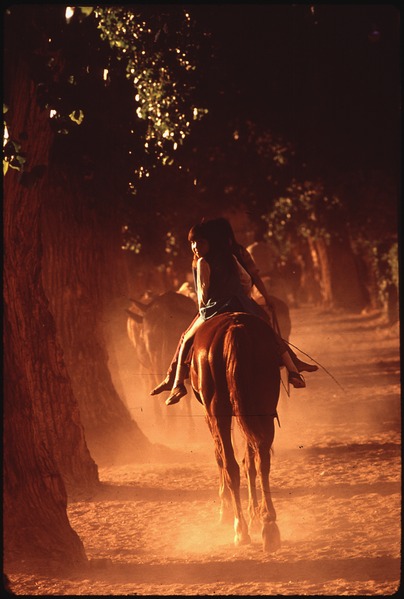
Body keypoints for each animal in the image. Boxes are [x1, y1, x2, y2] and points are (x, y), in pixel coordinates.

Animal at [190, 312, 280, 556]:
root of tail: (235, 326)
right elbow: (249, 461)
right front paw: (255, 515)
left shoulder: (209, 416)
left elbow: (220, 457)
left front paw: (226, 509)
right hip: (263, 405)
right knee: (261, 461)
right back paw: (269, 526)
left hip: (217, 410)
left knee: (231, 466)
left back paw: (241, 530)